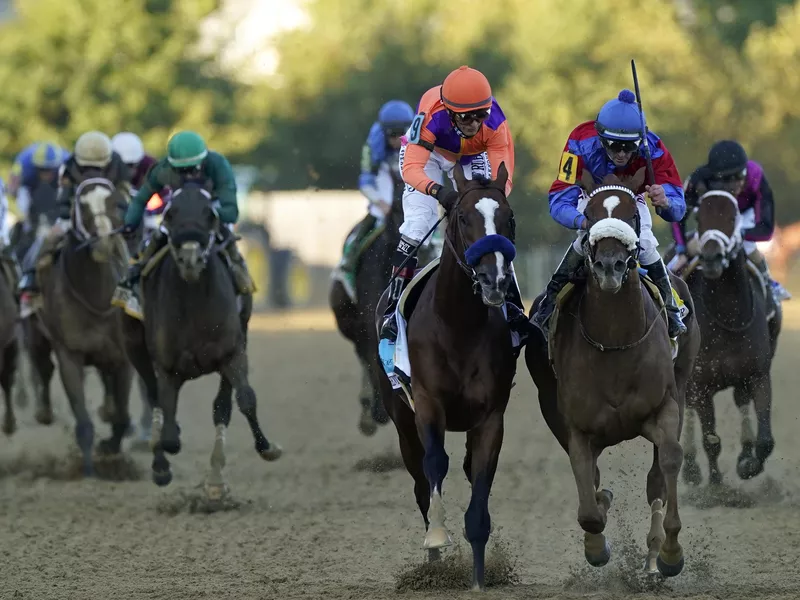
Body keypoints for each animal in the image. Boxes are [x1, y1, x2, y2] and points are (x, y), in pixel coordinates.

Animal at [34, 176, 134, 476]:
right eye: (82, 206)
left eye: (116, 203)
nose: (103, 243)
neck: (96, 296)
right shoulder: (69, 353)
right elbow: (84, 423)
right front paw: (88, 470)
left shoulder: (123, 356)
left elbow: (123, 416)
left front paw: (110, 448)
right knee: (43, 366)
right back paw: (44, 412)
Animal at [119, 183, 282, 496]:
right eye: (170, 214)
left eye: (211, 214)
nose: (190, 259)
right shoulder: (167, 367)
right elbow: (167, 425)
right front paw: (165, 454)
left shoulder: (233, 352)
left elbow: (240, 401)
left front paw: (265, 448)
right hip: (135, 347)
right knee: (156, 401)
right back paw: (160, 465)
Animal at [376, 161, 520, 592]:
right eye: (463, 218)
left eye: (509, 219)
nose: (494, 280)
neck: (458, 325)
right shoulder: (427, 405)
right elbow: (435, 463)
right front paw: (437, 539)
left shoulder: (491, 416)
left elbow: (482, 478)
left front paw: (478, 576)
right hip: (402, 420)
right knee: (420, 478)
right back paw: (434, 560)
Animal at [520, 169, 696, 576]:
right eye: (588, 216)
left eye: (632, 213)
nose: (610, 267)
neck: (615, 339)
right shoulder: (575, 426)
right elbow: (588, 499)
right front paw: (596, 543)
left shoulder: (665, 406)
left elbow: (669, 460)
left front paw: (671, 552)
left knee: (655, 479)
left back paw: (654, 555)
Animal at [680, 191, 780, 488]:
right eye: (699, 217)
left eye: (733, 216)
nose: (711, 257)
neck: (728, 315)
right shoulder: (700, 384)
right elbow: (711, 440)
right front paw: (715, 486)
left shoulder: (757, 375)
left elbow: (766, 440)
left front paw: (748, 464)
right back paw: (690, 468)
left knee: (740, 401)